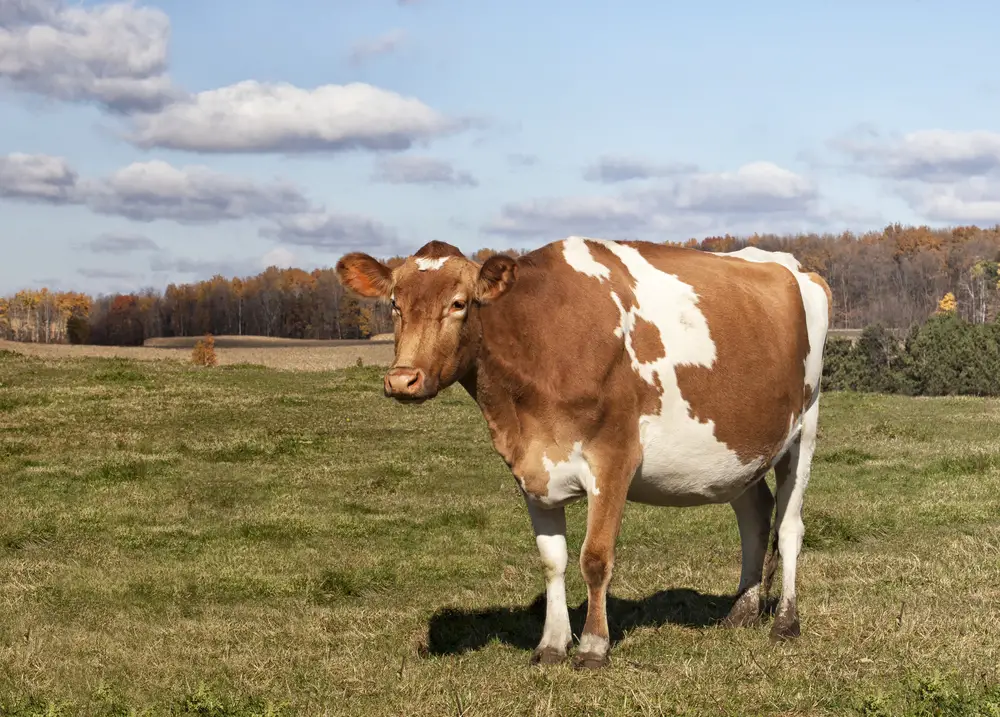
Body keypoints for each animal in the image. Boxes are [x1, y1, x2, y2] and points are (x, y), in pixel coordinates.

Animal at [336, 238, 828, 668]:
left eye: (459, 303)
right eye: (395, 304)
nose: (403, 379)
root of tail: (794, 265)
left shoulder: (614, 459)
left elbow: (595, 558)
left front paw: (593, 646)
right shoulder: (533, 468)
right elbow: (552, 561)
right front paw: (552, 644)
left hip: (804, 427)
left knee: (789, 526)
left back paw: (785, 622)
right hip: (736, 451)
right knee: (755, 515)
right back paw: (742, 611)